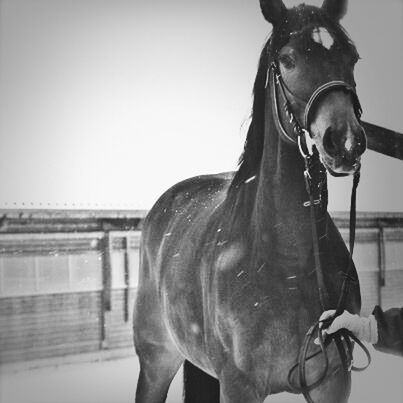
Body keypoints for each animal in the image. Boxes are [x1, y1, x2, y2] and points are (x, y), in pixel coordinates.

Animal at [134, 1, 368, 402]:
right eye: (287, 59)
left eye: (351, 57)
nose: (345, 142)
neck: (288, 262)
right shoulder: (239, 385)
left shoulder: (334, 383)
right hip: (156, 363)